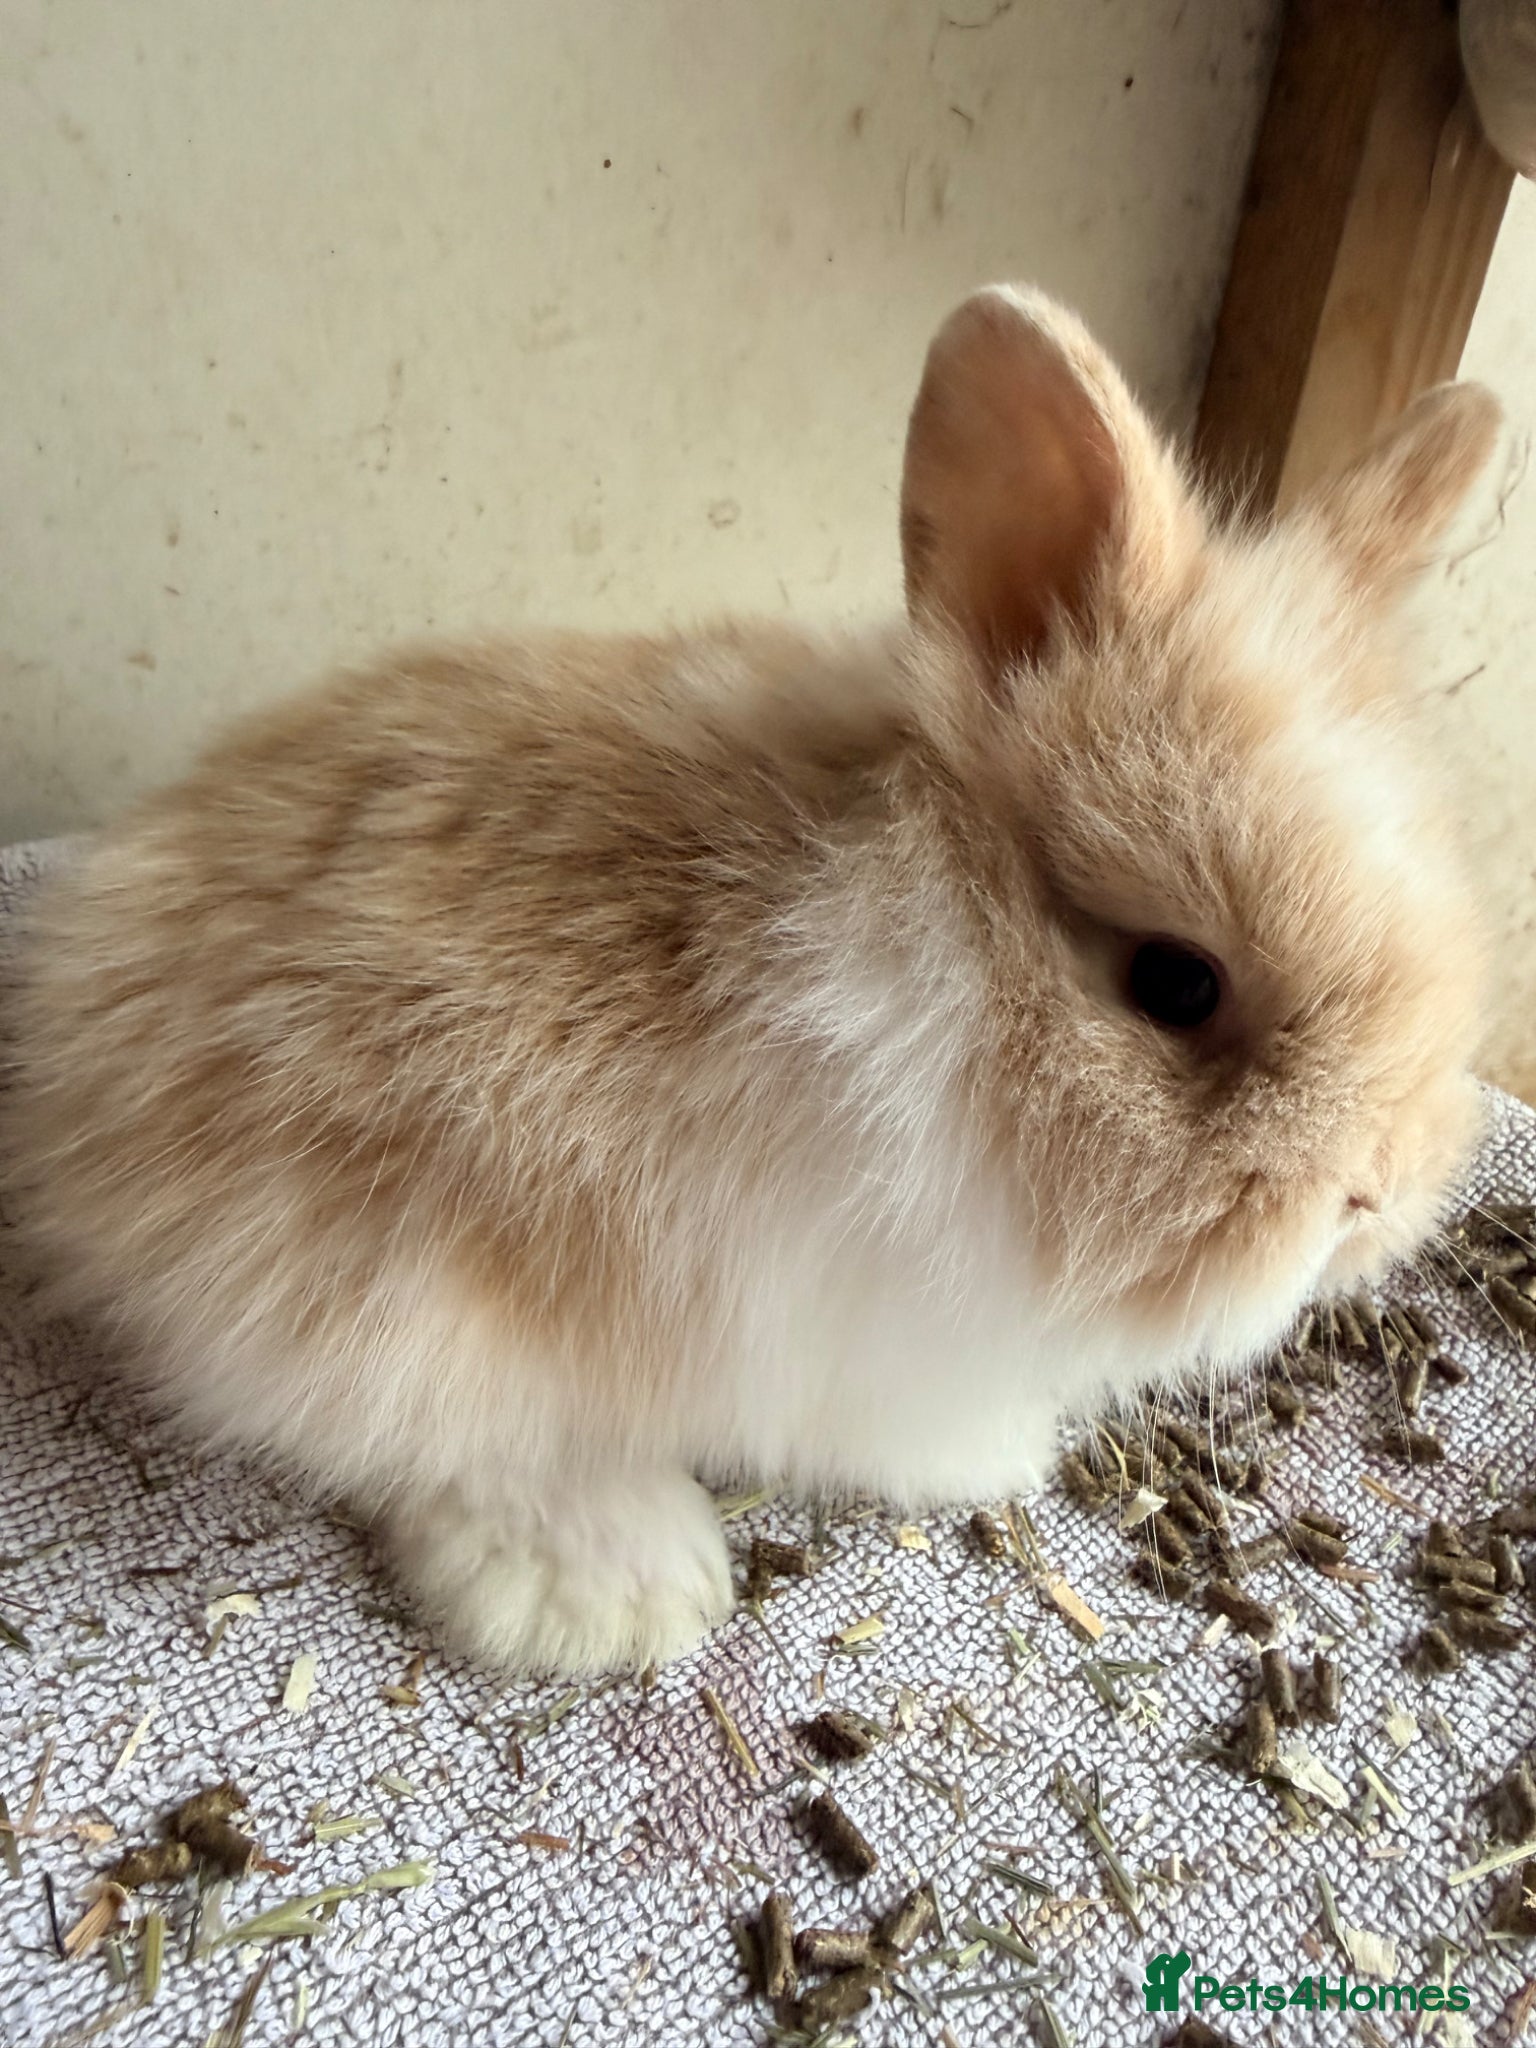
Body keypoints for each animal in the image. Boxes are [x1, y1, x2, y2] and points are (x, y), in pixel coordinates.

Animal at [3, 286, 1499, 1677]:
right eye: (1176, 982)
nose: (1374, 1194)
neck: (934, 958)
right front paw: (990, 1461)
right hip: (418, 1274)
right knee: (433, 1434)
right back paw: (622, 1593)